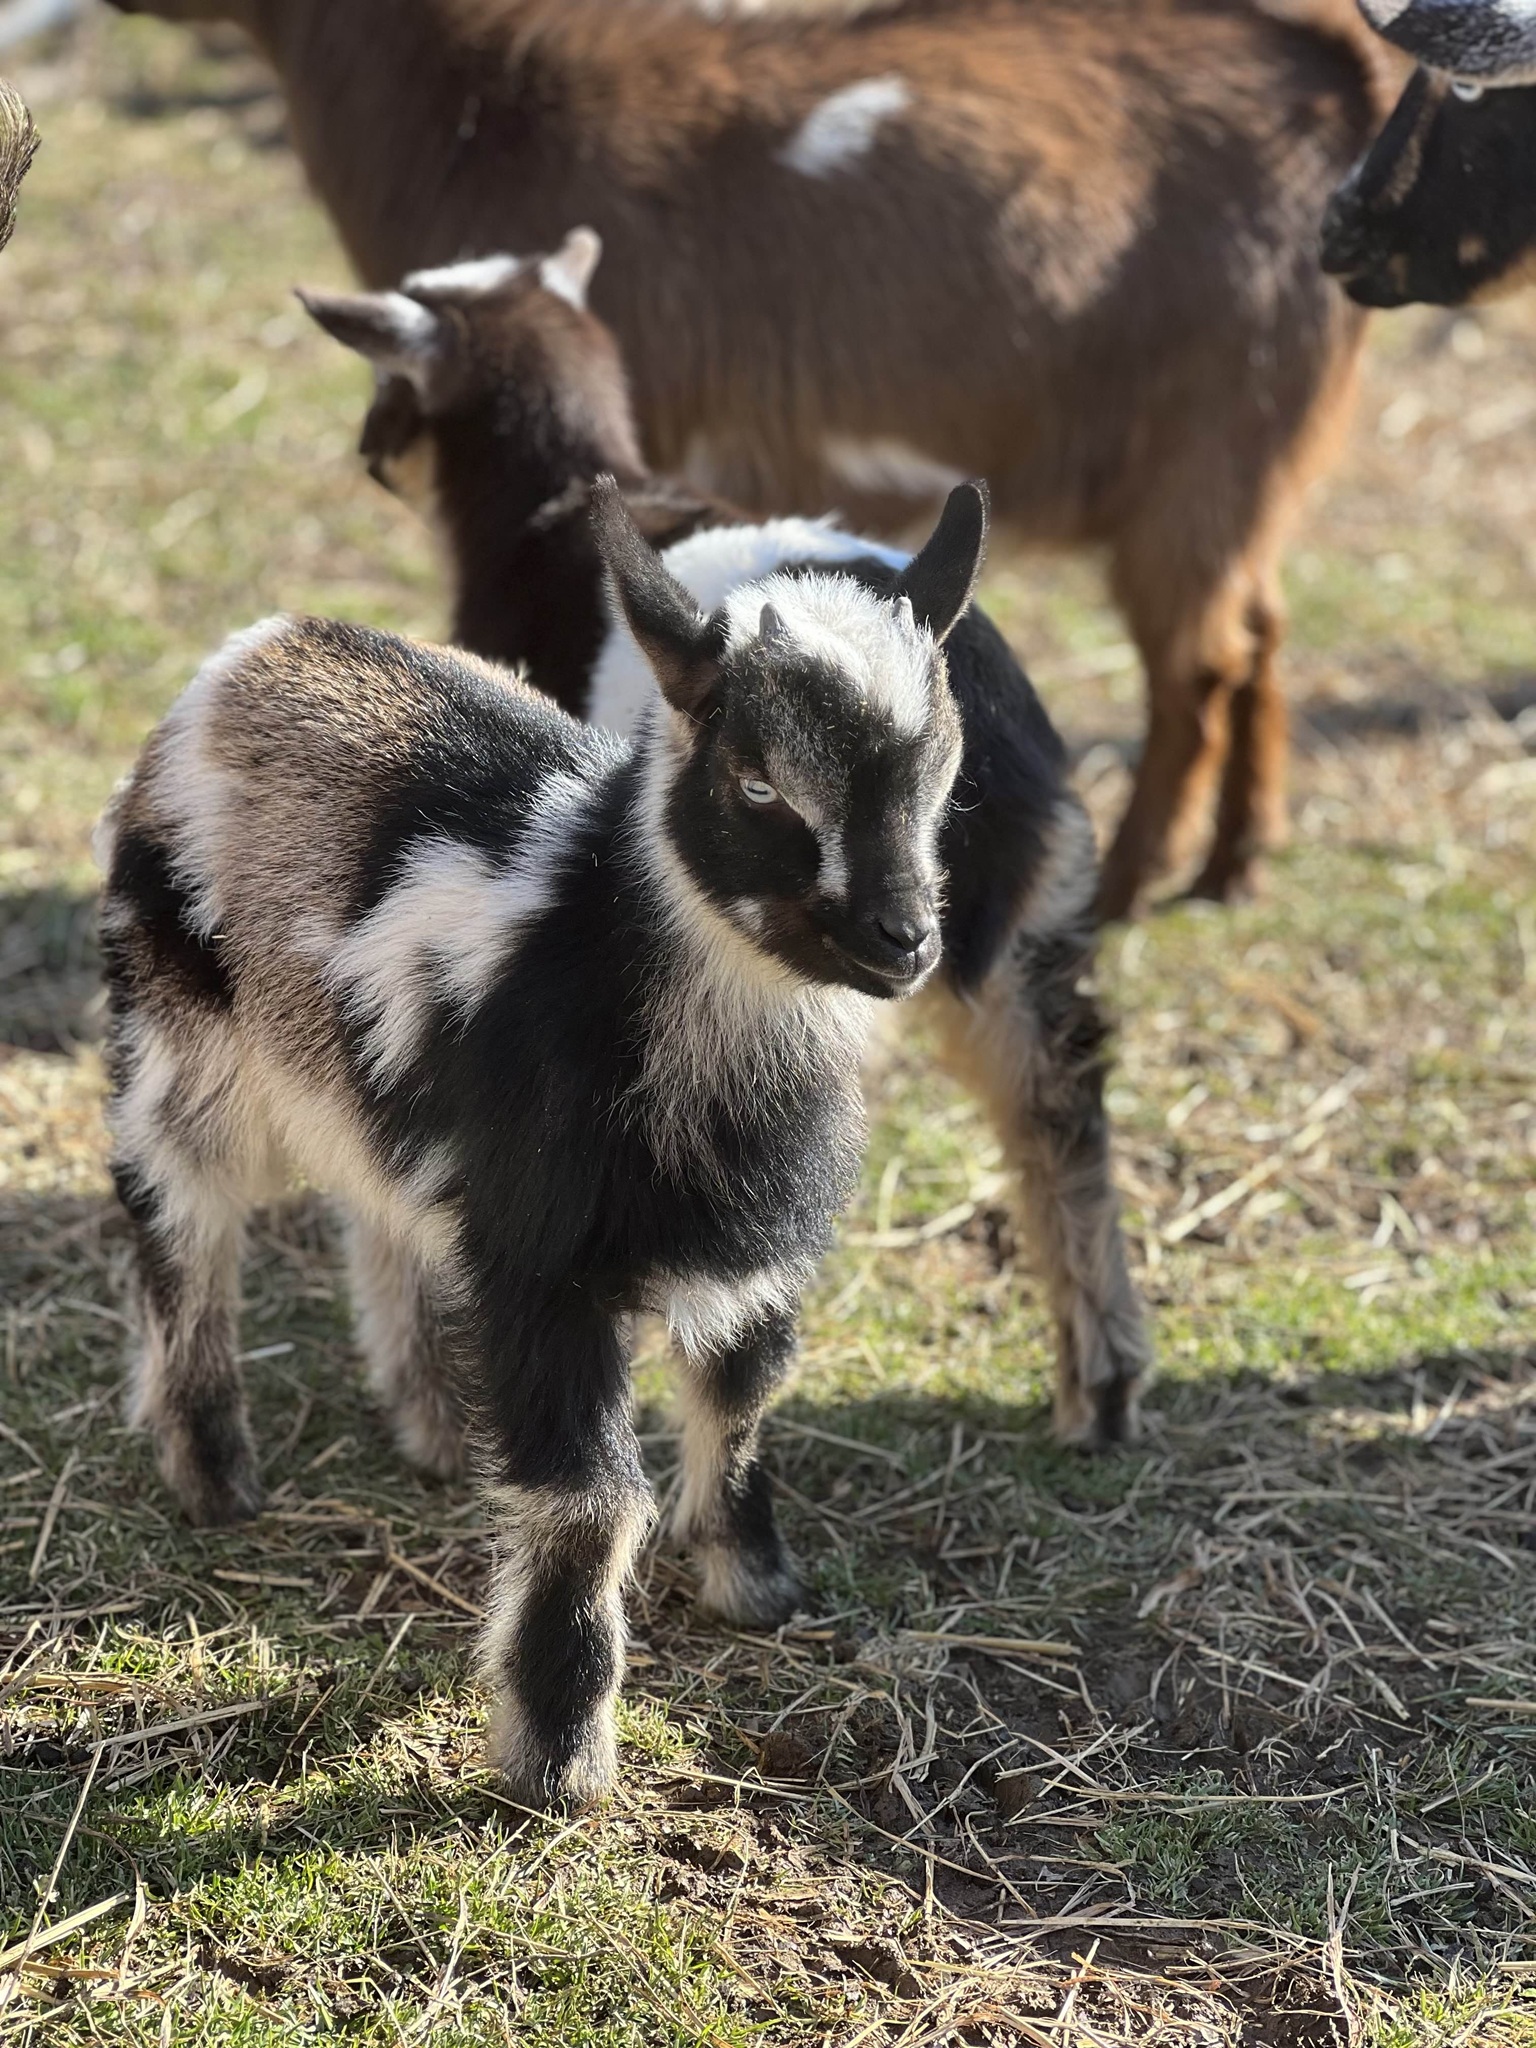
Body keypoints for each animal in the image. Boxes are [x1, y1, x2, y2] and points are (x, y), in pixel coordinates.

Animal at [98, 479, 985, 1807]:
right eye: (758, 783)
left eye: (944, 769)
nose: (903, 938)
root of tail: (258, 645)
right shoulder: (540, 1257)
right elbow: (585, 1503)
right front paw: (558, 1760)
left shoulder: (752, 1246)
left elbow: (743, 1395)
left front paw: (754, 1586)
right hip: (177, 1035)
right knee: (180, 1220)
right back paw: (212, 1471)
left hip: (371, 1090)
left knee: (381, 1212)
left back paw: (432, 1424)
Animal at [106, 0, 1392, 916]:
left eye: (389, 387)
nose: (367, 452)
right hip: (1243, 478)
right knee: (1261, 631)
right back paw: (1232, 866)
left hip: (1202, 463)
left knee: (1200, 668)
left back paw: (1131, 883)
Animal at [299, 233, 1151, 1453]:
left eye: (390, 389)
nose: (367, 454)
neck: (552, 505)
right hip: (1031, 914)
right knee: (1062, 1112)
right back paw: (1104, 1386)